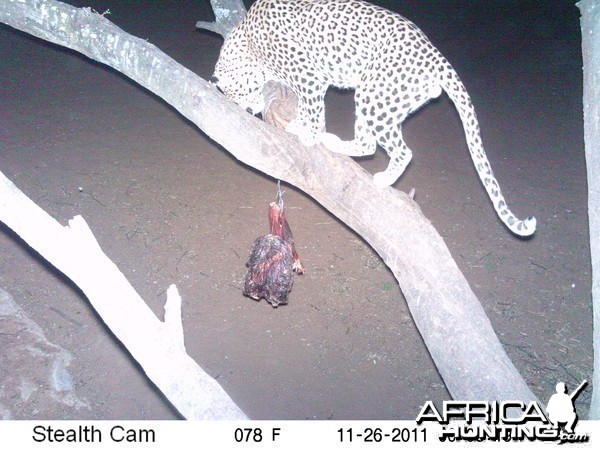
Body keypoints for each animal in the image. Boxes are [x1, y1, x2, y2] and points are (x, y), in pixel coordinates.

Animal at [209, 0, 536, 237]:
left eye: (238, 95)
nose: (248, 109)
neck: (247, 43)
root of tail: (435, 55)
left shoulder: (310, 77)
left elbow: (313, 110)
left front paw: (308, 133)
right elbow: (304, 108)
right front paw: (302, 125)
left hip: (372, 94)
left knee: (402, 151)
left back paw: (382, 178)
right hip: (381, 99)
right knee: (368, 144)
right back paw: (336, 143)